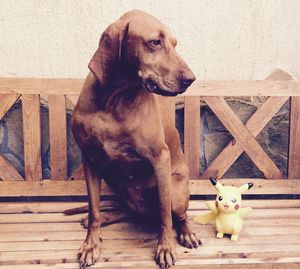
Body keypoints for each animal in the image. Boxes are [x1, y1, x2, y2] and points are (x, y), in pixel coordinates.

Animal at [71, 10, 200, 268]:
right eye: (155, 42)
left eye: (175, 44)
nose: (191, 79)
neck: (114, 100)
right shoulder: (90, 160)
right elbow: (94, 209)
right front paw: (91, 245)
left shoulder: (160, 159)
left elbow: (164, 215)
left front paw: (165, 247)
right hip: (117, 183)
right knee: (129, 210)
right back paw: (110, 216)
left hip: (176, 192)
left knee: (178, 215)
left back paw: (187, 233)